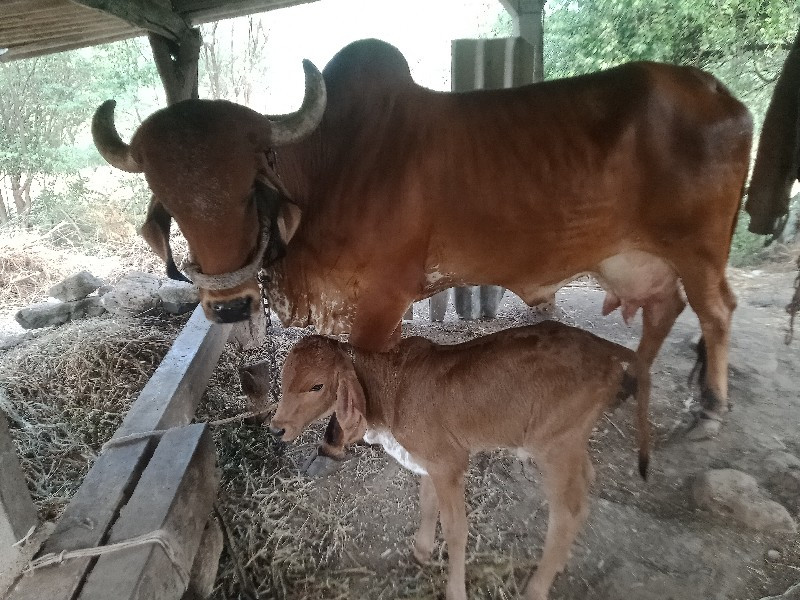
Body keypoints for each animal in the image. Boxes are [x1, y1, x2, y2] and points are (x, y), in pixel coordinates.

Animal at [90, 37, 752, 474]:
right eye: (169, 199)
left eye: (249, 182)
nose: (228, 307)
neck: (331, 166)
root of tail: (723, 96)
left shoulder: (384, 297)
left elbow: (358, 364)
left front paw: (338, 441)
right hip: (638, 259)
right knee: (664, 311)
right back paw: (633, 380)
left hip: (698, 250)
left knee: (716, 312)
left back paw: (711, 411)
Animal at [268, 324, 648, 600]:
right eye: (284, 379)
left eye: (316, 386)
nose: (276, 428)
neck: (392, 387)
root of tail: (606, 348)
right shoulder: (429, 461)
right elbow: (426, 504)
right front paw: (421, 552)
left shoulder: (449, 463)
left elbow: (456, 530)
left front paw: (454, 590)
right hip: (572, 446)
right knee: (585, 486)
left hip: (555, 447)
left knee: (568, 513)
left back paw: (536, 589)